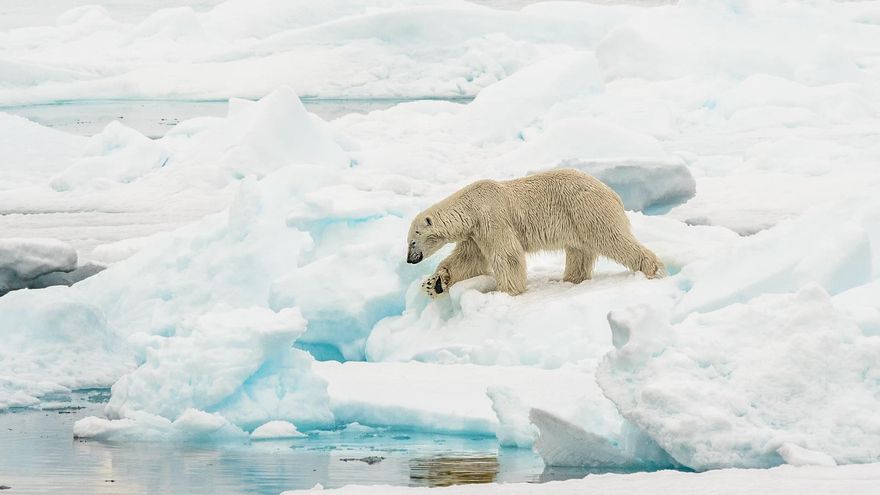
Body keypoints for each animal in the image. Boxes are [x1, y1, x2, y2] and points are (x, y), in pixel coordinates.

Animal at [406, 168, 664, 296]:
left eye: (412, 241)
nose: (409, 260)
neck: (471, 205)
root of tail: (612, 192)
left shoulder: (492, 218)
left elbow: (507, 255)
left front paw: (505, 292)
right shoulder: (475, 232)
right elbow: (468, 259)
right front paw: (434, 283)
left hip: (587, 209)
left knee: (612, 238)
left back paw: (652, 268)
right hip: (577, 220)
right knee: (579, 251)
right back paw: (571, 279)